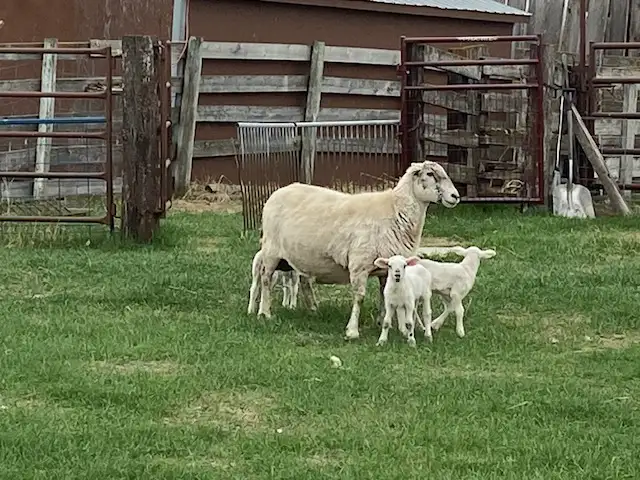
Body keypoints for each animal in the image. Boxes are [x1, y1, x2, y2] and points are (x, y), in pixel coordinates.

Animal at [255, 160, 460, 340]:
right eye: (430, 174)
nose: (455, 196)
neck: (395, 210)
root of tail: (278, 192)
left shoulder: (386, 269)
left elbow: (383, 295)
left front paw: (381, 322)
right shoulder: (359, 265)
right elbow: (359, 298)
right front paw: (352, 330)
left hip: (303, 257)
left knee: (305, 282)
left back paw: (313, 309)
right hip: (271, 251)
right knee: (265, 280)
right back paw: (264, 313)